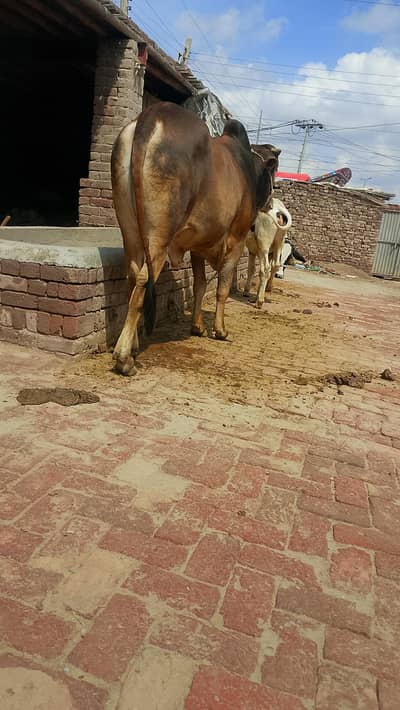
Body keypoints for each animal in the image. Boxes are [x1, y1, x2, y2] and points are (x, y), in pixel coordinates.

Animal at [111, 102, 279, 375]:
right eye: (272, 171)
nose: (271, 202)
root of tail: (154, 114)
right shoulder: (236, 239)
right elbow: (222, 287)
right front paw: (220, 330)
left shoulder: (199, 246)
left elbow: (200, 284)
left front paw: (197, 326)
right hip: (159, 236)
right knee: (145, 279)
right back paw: (124, 357)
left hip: (131, 232)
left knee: (133, 276)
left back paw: (133, 345)